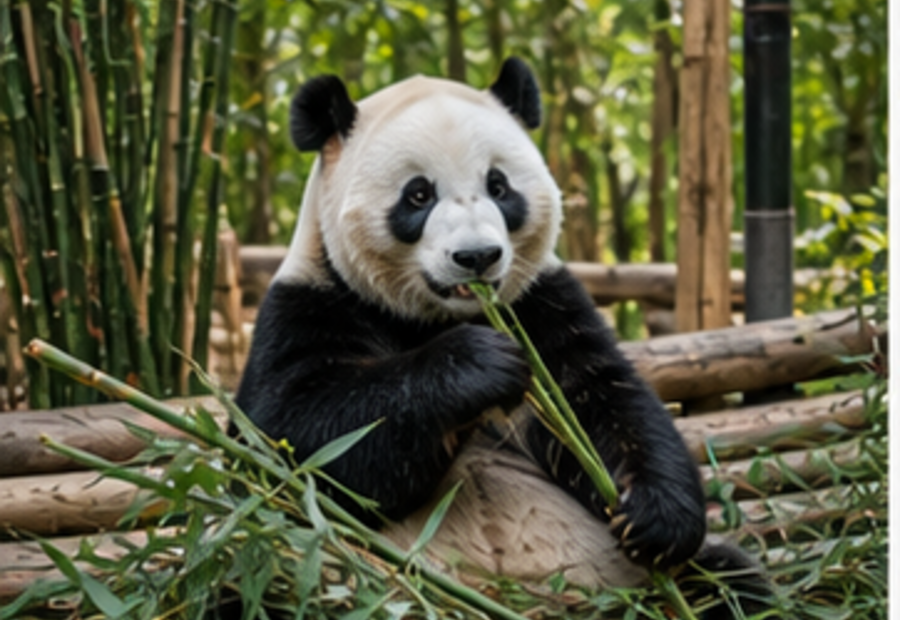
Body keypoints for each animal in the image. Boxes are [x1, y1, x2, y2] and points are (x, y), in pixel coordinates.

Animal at [235, 58, 768, 614]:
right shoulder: (312, 304)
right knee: (257, 574)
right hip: (314, 573)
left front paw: (654, 518)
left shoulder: (540, 302)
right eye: (418, 194)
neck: (442, 316)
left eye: (499, 186)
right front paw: (482, 364)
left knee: (731, 579)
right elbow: (298, 436)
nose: (477, 257)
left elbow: (602, 403)